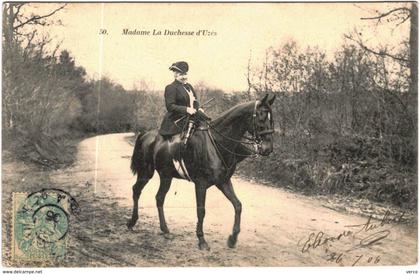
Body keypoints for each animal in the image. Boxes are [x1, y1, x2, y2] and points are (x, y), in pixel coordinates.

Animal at [130, 93, 278, 249]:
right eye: (261, 118)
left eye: (271, 119)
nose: (268, 148)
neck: (216, 143)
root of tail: (146, 134)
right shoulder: (200, 184)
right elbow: (201, 210)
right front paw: (201, 240)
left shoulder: (223, 182)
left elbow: (238, 205)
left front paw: (233, 238)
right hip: (146, 172)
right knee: (136, 190)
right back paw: (132, 222)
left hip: (166, 176)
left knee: (159, 198)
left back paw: (165, 230)